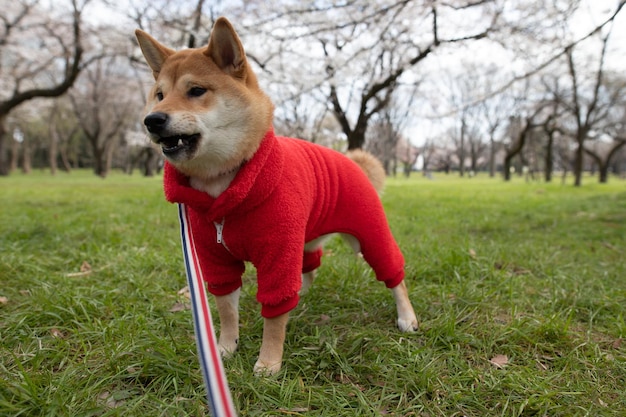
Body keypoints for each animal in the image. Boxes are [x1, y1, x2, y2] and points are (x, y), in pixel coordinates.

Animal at [135, 17, 416, 374]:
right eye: (159, 95)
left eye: (196, 91)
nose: (152, 119)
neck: (223, 184)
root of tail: (352, 161)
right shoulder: (216, 259)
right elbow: (227, 309)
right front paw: (225, 348)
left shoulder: (278, 253)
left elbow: (274, 316)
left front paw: (268, 362)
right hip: (306, 236)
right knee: (311, 265)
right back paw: (303, 296)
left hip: (368, 235)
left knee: (393, 274)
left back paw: (406, 315)